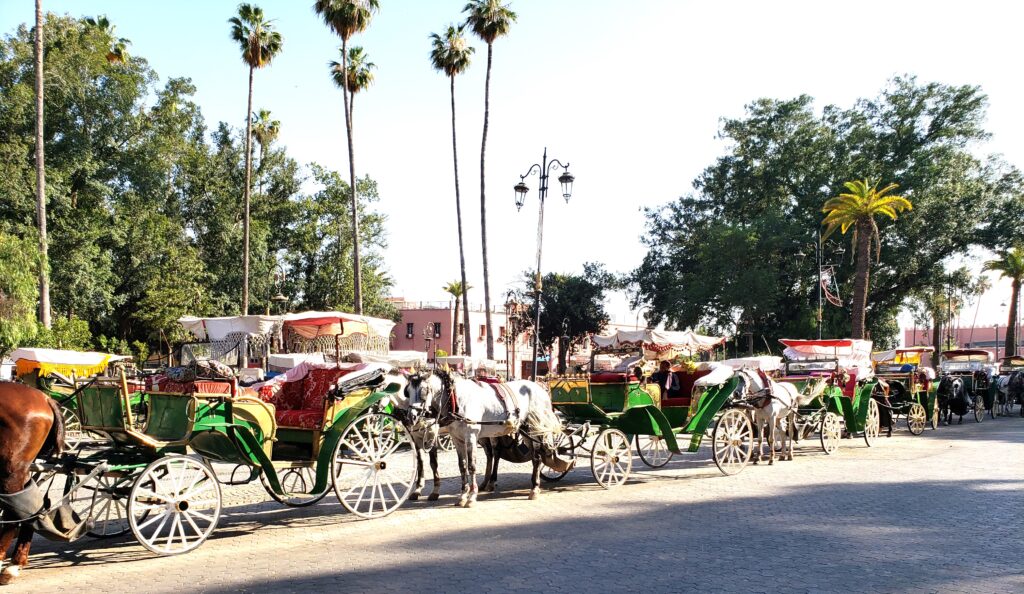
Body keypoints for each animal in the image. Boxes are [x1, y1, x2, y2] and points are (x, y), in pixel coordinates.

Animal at [405, 370, 569, 505]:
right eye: (408, 392)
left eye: (424, 391)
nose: (411, 417)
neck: (456, 399)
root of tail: (541, 388)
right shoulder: (457, 439)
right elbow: (462, 466)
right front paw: (463, 495)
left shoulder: (471, 436)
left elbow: (471, 466)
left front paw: (471, 496)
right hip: (525, 430)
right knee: (534, 457)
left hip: (536, 428)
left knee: (537, 457)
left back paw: (534, 488)